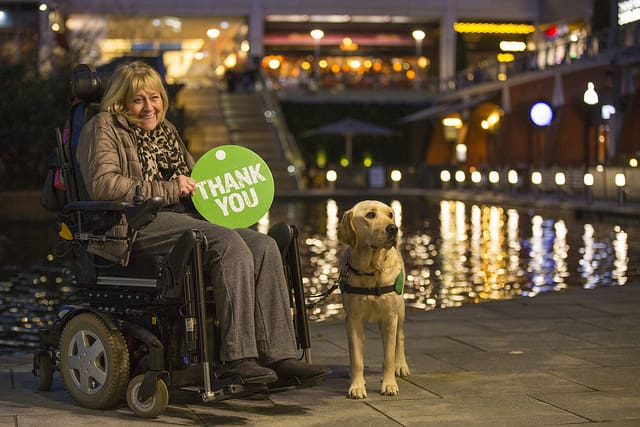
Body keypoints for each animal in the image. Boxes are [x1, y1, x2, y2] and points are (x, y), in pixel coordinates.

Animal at [336, 199, 410, 400]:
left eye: (390, 214)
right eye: (370, 215)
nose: (393, 228)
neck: (371, 270)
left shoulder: (390, 317)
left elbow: (388, 357)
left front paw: (389, 384)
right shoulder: (353, 319)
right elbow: (356, 358)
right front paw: (357, 386)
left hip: (400, 310)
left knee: (399, 337)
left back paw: (401, 366)